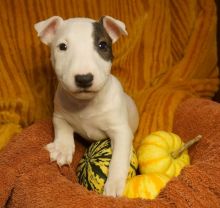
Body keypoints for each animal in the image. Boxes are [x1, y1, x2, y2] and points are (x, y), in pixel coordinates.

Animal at [34, 16, 138, 197]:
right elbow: (62, 129)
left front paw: (114, 184)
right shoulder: (59, 115)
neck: (86, 104)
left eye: (102, 45)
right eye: (62, 46)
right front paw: (62, 149)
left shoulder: (121, 131)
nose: (84, 78)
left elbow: (119, 157)